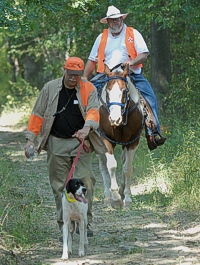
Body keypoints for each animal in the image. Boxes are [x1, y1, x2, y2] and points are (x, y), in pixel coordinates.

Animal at [95, 63, 144, 206]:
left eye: (124, 91)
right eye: (108, 91)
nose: (114, 119)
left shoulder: (133, 142)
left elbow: (127, 168)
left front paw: (126, 197)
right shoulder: (105, 140)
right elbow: (111, 166)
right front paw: (115, 197)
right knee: (102, 166)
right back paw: (107, 196)